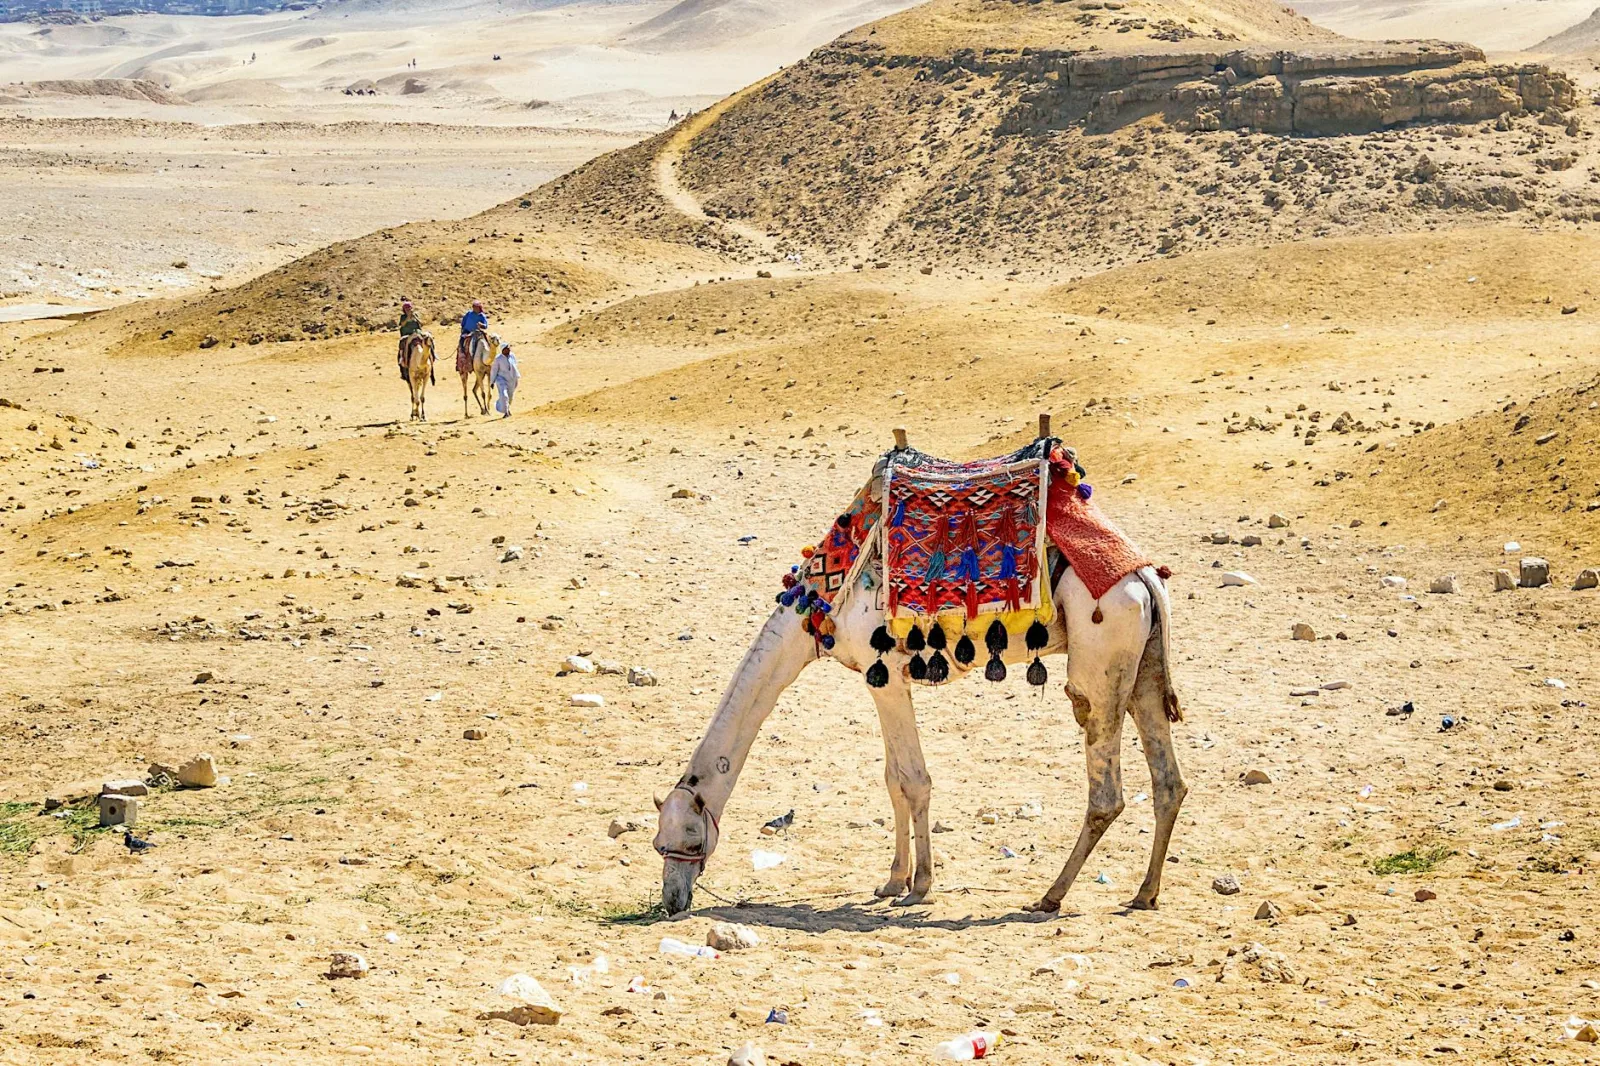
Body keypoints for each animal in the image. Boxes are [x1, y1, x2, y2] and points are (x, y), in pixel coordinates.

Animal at [654, 426, 1184, 917]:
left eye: (689, 838)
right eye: (659, 842)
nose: (672, 901)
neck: (818, 605)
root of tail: (1146, 577)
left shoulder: (883, 673)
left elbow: (913, 780)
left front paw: (920, 887)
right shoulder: (889, 680)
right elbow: (893, 780)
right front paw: (892, 882)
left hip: (1100, 660)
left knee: (1106, 789)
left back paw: (1051, 896)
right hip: (1143, 666)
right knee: (1168, 780)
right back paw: (1146, 893)